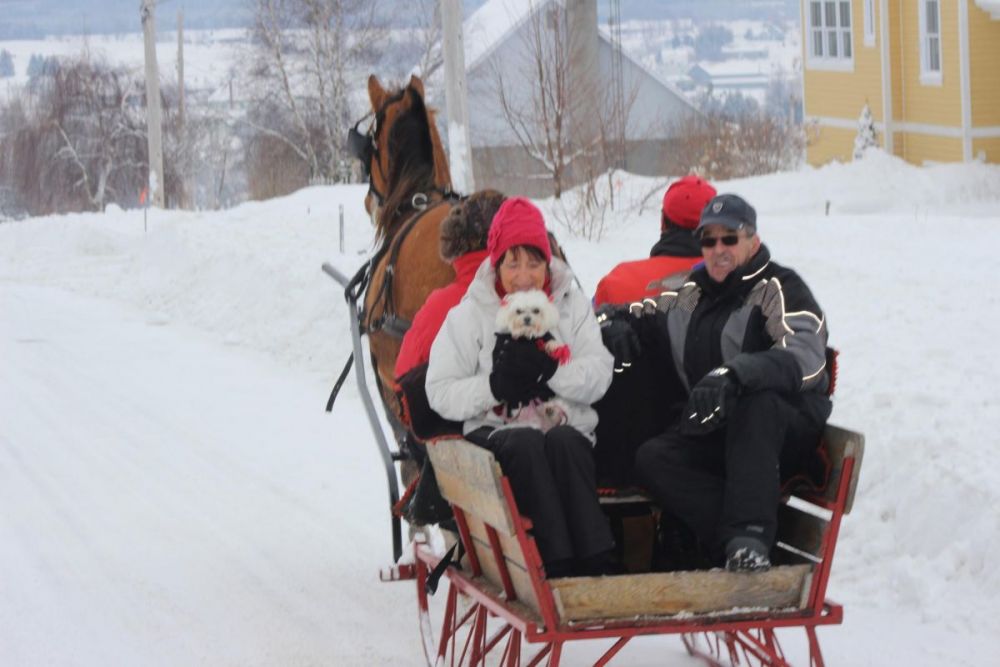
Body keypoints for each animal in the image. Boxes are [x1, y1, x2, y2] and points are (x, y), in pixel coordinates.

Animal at [492, 290, 572, 436]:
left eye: (536, 310)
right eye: (518, 311)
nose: (527, 319)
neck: (527, 337)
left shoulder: (545, 337)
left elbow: (551, 341)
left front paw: (554, 347)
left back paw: (550, 411)